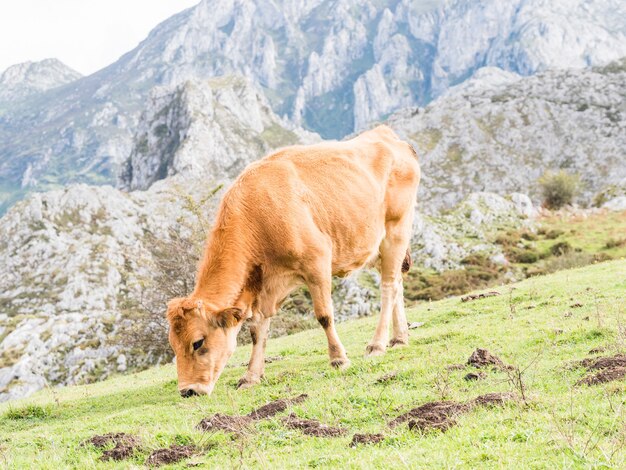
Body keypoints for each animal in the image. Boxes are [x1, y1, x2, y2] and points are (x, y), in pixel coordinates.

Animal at [166, 124, 420, 396]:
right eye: (172, 345)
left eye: (197, 342)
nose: (188, 390)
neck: (257, 217)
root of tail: (386, 135)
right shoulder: (264, 286)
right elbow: (257, 331)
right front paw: (251, 376)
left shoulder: (317, 261)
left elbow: (324, 315)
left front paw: (338, 358)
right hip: (374, 246)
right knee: (397, 283)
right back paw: (399, 338)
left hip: (396, 230)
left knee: (388, 286)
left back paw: (377, 344)